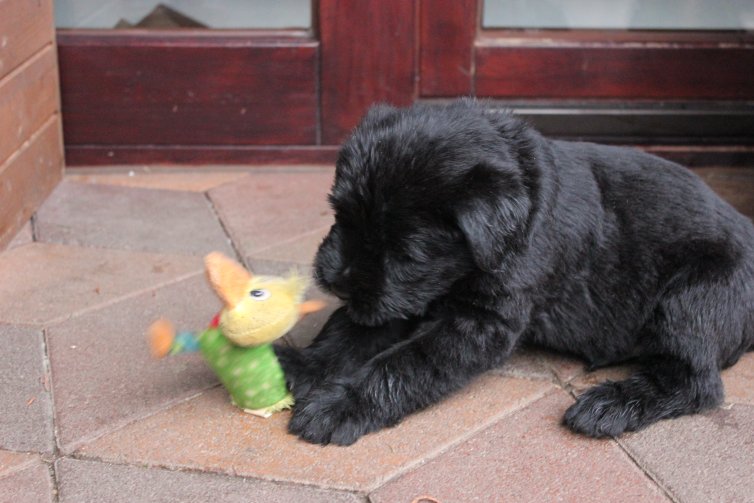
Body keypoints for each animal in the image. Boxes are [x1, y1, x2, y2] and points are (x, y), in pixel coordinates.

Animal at [276, 100, 752, 446]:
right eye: (340, 215)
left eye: (408, 252)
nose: (335, 281)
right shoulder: (402, 299)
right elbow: (347, 333)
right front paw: (300, 366)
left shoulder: (480, 322)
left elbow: (402, 363)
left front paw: (340, 406)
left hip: (692, 300)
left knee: (696, 382)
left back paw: (610, 405)